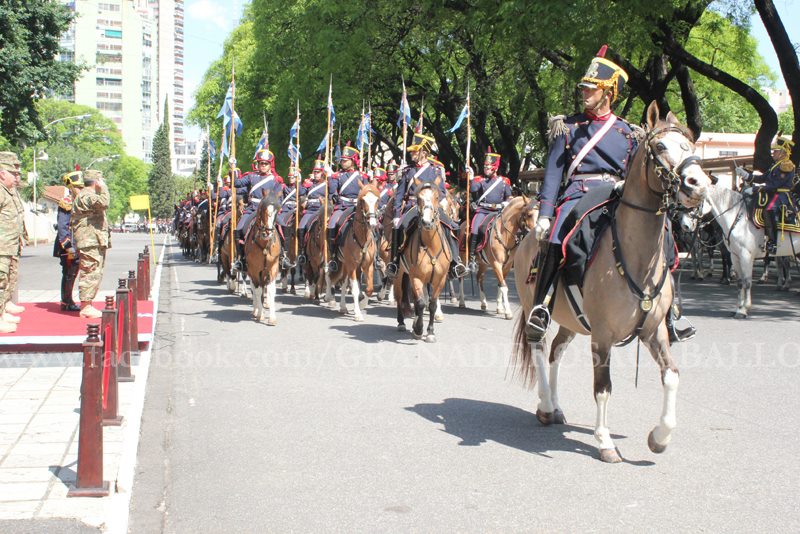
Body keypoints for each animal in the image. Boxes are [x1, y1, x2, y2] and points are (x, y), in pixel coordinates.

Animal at [242, 193, 282, 326]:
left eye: (277, 211)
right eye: (262, 209)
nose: (267, 233)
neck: (264, 245)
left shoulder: (272, 269)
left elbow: (270, 291)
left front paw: (272, 318)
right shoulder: (254, 271)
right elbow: (258, 291)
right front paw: (260, 314)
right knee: (255, 289)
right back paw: (256, 310)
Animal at [322, 183, 378, 322]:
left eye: (377, 200)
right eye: (363, 200)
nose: (372, 223)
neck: (361, 236)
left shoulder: (367, 265)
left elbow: (369, 288)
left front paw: (362, 305)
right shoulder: (352, 265)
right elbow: (355, 289)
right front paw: (358, 314)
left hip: (346, 265)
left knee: (343, 282)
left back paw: (343, 307)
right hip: (335, 259)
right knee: (328, 274)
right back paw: (329, 297)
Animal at [392, 177, 450, 344]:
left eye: (436, 197)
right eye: (418, 198)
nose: (426, 222)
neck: (431, 246)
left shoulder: (439, 279)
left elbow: (431, 304)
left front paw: (430, 332)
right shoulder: (416, 277)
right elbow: (420, 302)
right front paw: (418, 329)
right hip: (399, 274)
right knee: (400, 296)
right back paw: (401, 323)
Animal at [510, 101, 708, 464]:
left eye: (690, 146)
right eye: (661, 146)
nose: (698, 183)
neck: (635, 256)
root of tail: (527, 237)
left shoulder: (654, 332)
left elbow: (671, 376)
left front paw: (660, 437)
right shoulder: (602, 336)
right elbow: (603, 387)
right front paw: (604, 441)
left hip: (572, 320)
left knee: (556, 352)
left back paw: (556, 406)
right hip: (536, 307)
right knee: (539, 348)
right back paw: (545, 404)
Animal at [700, 184, 792, 318]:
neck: (738, 219)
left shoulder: (746, 256)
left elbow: (747, 281)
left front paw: (744, 308)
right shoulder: (735, 255)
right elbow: (740, 282)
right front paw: (739, 308)